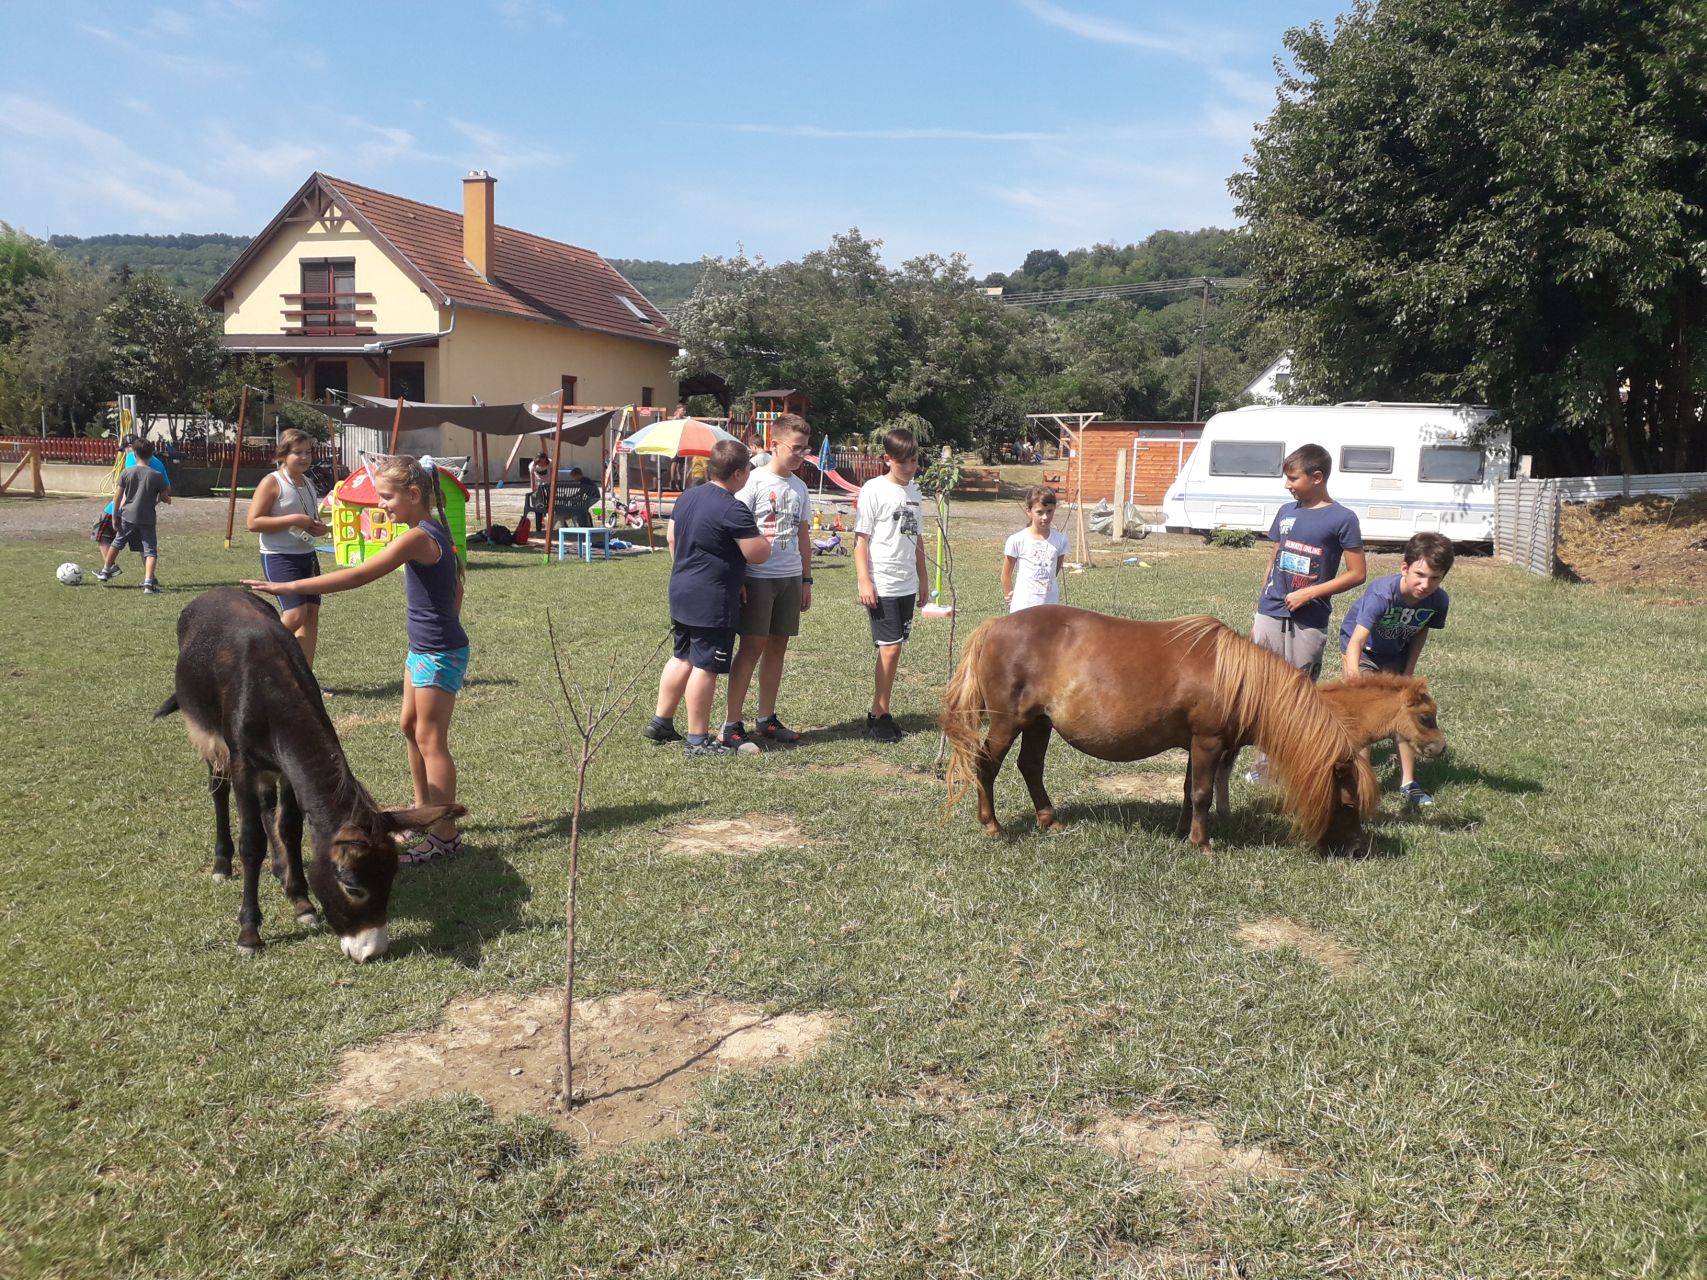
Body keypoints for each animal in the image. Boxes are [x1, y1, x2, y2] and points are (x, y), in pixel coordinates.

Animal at [157, 589, 463, 960]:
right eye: (352, 887)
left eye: (390, 878)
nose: (371, 952)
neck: (270, 687)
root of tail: (214, 592)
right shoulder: (243, 765)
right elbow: (251, 843)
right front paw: (249, 933)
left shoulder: (289, 771)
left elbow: (289, 828)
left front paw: (301, 901)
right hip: (210, 739)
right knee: (218, 790)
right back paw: (222, 864)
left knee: (267, 807)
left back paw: (279, 868)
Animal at [941, 606, 1379, 852]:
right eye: (1348, 804)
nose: (1359, 849)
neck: (1238, 679)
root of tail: (995, 625)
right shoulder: (1208, 743)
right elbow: (1202, 794)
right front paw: (1202, 844)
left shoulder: (1196, 745)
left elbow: (1188, 790)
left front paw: (1184, 832)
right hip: (1007, 722)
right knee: (986, 767)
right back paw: (992, 825)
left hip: (1038, 723)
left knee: (1030, 767)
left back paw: (1049, 820)